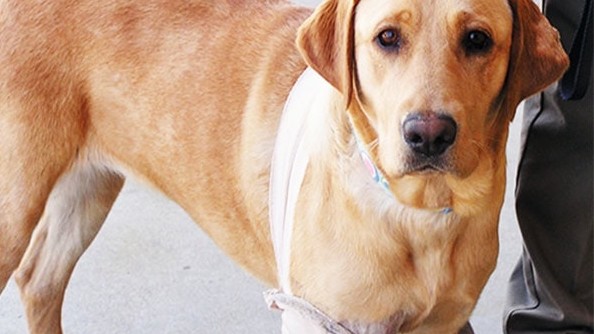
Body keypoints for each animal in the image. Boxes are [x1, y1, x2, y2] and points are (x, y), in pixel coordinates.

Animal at [0, 0, 564, 332]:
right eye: (386, 37)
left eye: (477, 39)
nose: (428, 134)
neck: (418, 216)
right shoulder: (318, 319)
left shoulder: (439, 324)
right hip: (15, 206)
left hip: (89, 186)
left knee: (40, 279)